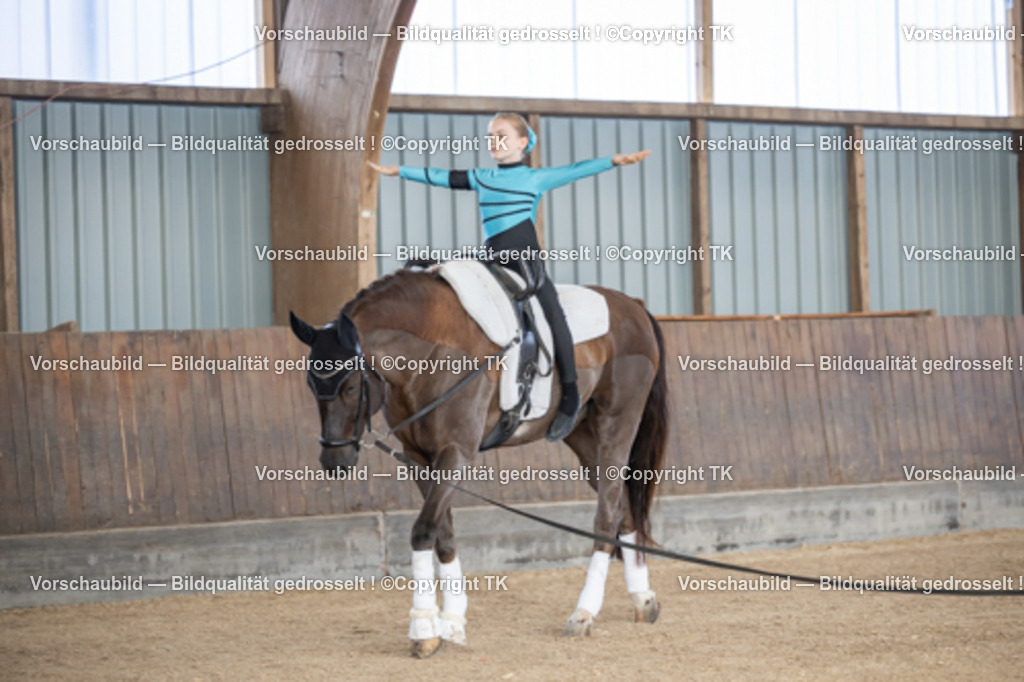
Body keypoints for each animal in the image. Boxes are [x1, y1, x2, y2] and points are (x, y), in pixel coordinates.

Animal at [289, 266, 668, 657]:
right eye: (310, 384)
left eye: (350, 387)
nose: (333, 459)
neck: (432, 352)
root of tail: (634, 306)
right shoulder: (419, 458)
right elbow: (443, 533)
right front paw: (451, 622)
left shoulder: (456, 453)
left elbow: (423, 530)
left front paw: (423, 630)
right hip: (580, 434)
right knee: (622, 506)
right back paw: (643, 599)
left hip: (617, 422)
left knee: (606, 516)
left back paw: (583, 613)